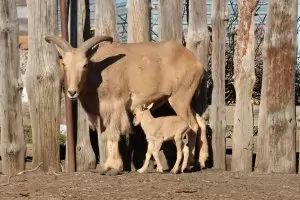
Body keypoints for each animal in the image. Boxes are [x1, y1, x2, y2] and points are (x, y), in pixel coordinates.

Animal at [44, 34, 209, 175]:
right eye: (64, 63)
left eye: (84, 65)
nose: (72, 92)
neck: (98, 73)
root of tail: (197, 64)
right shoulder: (103, 113)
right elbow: (106, 135)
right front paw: (105, 166)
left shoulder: (115, 105)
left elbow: (113, 134)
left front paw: (113, 167)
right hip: (179, 101)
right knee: (200, 122)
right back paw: (201, 161)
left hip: (180, 99)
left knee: (193, 126)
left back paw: (186, 165)